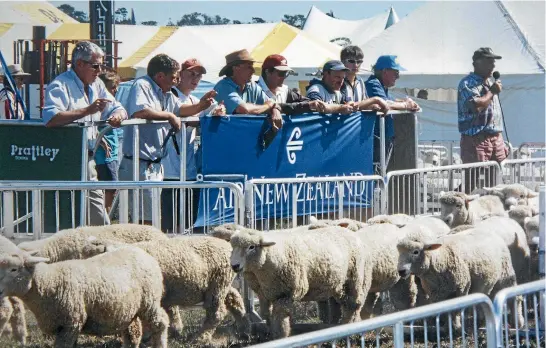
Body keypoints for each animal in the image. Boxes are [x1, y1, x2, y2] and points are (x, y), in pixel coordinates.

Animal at [0, 246, 168, 346]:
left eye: (14, 269)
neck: (49, 282)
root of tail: (145, 254)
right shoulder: (68, 326)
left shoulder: (70, 323)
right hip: (129, 310)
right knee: (133, 333)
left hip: (149, 302)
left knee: (161, 323)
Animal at [83, 235, 249, 344]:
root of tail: (227, 246)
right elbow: (170, 311)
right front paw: (173, 330)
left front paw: (149, 336)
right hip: (220, 284)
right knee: (234, 297)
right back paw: (244, 328)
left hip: (217, 285)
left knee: (216, 313)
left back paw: (201, 337)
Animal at [212, 224, 366, 338]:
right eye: (233, 247)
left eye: (251, 247)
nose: (235, 266)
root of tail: (349, 232)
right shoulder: (264, 294)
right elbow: (267, 314)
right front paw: (270, 332)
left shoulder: (289, 293)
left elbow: (280, 316)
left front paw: (281, 335)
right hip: (338, 284)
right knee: (344, 303)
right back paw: (344, 324)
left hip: (354, 278)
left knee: (354, 304)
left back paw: (349, 327)